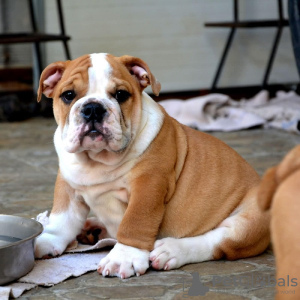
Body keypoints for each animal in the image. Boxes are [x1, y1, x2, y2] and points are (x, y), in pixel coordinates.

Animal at [34, 53, 270, 278]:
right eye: (68, 95)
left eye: (121, 95)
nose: (93, 108)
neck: (97, 160)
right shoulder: (67, 185)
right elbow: (62, 219)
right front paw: (46, 240)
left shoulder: (148, 185)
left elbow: (135, 221)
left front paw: (124, 256)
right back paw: (94, 228)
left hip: (249, 222)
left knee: (218, 242)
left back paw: (171, 251)